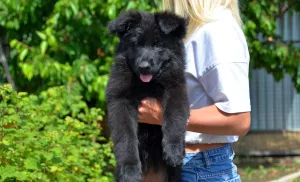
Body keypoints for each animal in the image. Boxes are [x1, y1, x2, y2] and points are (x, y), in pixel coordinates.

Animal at [106, 10, 189, 181]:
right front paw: (130, 170)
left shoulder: (176, 90)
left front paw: (173, 150)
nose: (144, 67)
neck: (147, 85)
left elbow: (174, 117)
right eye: (136, 44)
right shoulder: (120, 101)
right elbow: (126, 136)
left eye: (158, 45)